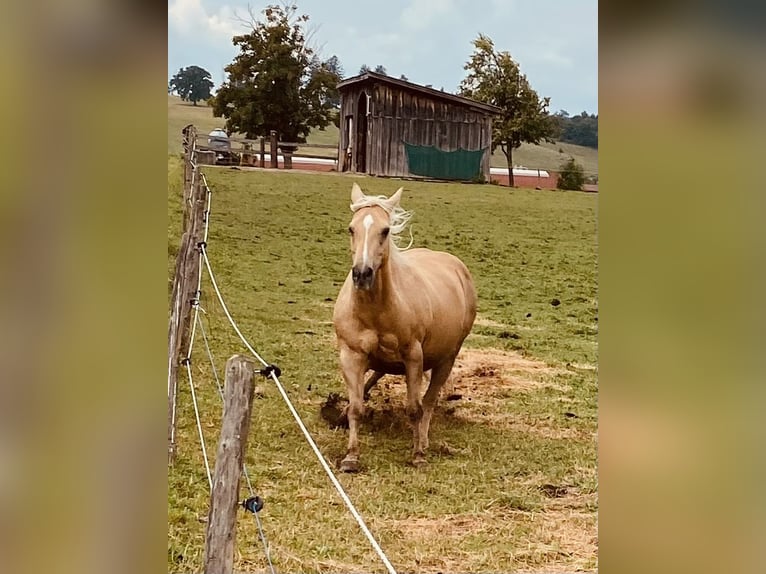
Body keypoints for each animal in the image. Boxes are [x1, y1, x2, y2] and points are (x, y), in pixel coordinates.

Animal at [333, 183, 477, 471]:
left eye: (385, 230)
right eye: (351, 228)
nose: (362, 274)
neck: (376, 310)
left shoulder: (413, 357)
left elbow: (415, 408)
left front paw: (418, 453)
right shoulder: (351, 355)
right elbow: (356, 406)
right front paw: (351, 456)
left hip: (447, 358)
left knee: (429, 401)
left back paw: (424, 441)